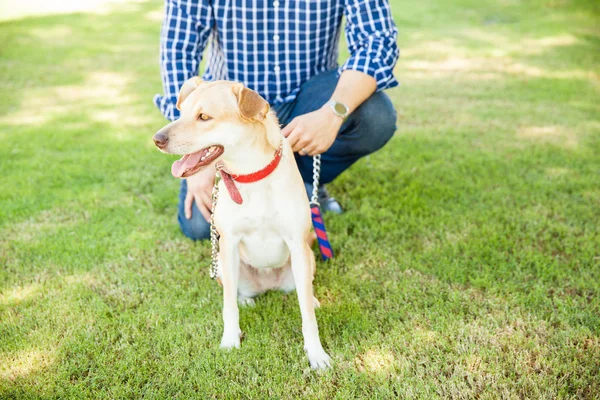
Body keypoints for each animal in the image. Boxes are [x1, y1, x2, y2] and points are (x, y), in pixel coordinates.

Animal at [149, 77, 328, 368]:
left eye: (204, 117)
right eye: (181, 112)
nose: (157, 139)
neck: (251, 174)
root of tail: (268, 284)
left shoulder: (297, 243)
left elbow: (307, 317)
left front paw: (316, 353)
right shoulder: (229, 243)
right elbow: (228, 305)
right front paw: (230, 340)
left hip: (306, 259)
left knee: (304, 290)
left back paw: (312, 299)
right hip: (223, 265)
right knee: (235, 292)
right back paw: (247, 300)